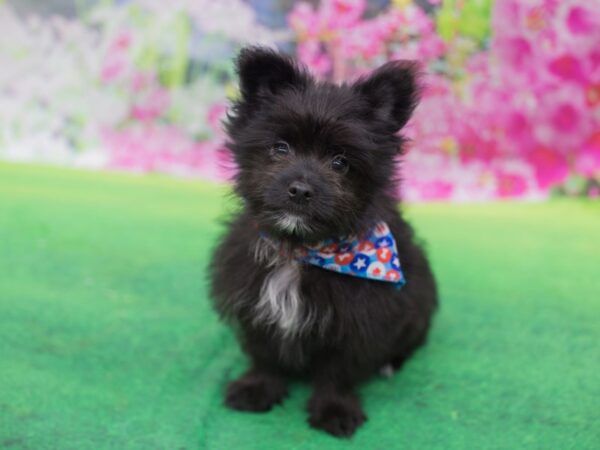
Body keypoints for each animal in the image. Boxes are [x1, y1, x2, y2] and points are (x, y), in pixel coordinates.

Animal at [210, 47, 436, 438]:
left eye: (340, 162)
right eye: (280, 148)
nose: (300, 189)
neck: (303, 251)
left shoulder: (360, 319)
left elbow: (339, 371)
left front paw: (335, 409)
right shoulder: (253, 300)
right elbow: (264, 354)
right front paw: (258, 388)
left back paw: (390, 365)